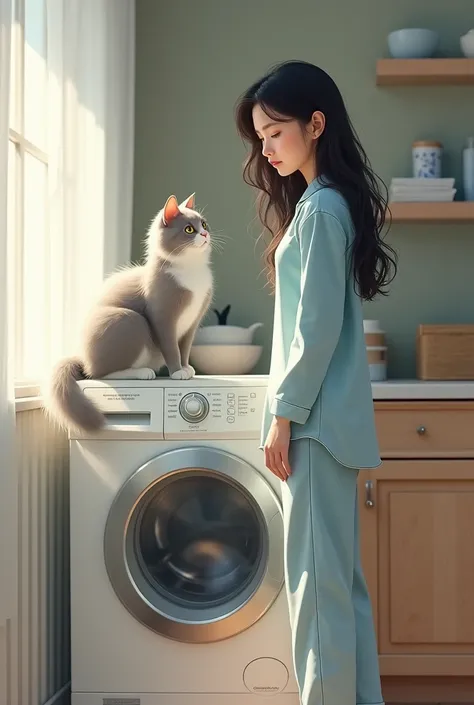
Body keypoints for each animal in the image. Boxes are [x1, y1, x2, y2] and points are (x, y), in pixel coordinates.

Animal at [43, 194, 214, 434]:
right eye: (189, 229)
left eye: (204, 224)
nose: (205, 234)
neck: (192, 271)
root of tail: (82, 356)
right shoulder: (161, 316)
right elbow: (171, 346)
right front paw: (177, 371)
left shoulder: (193, 321)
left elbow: (185, 347)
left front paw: (186, 368)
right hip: (130, 320)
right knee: (98, 373)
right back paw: (142, 372)